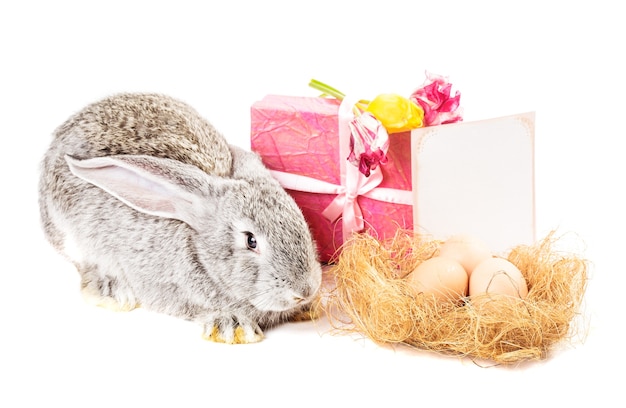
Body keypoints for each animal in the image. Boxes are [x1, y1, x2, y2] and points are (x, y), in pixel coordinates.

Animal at [37, 93, 322, 344]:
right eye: (251, 241)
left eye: (299, 216)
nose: (305, 291)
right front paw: (233, 328)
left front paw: (312, 308)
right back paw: (112, 292)